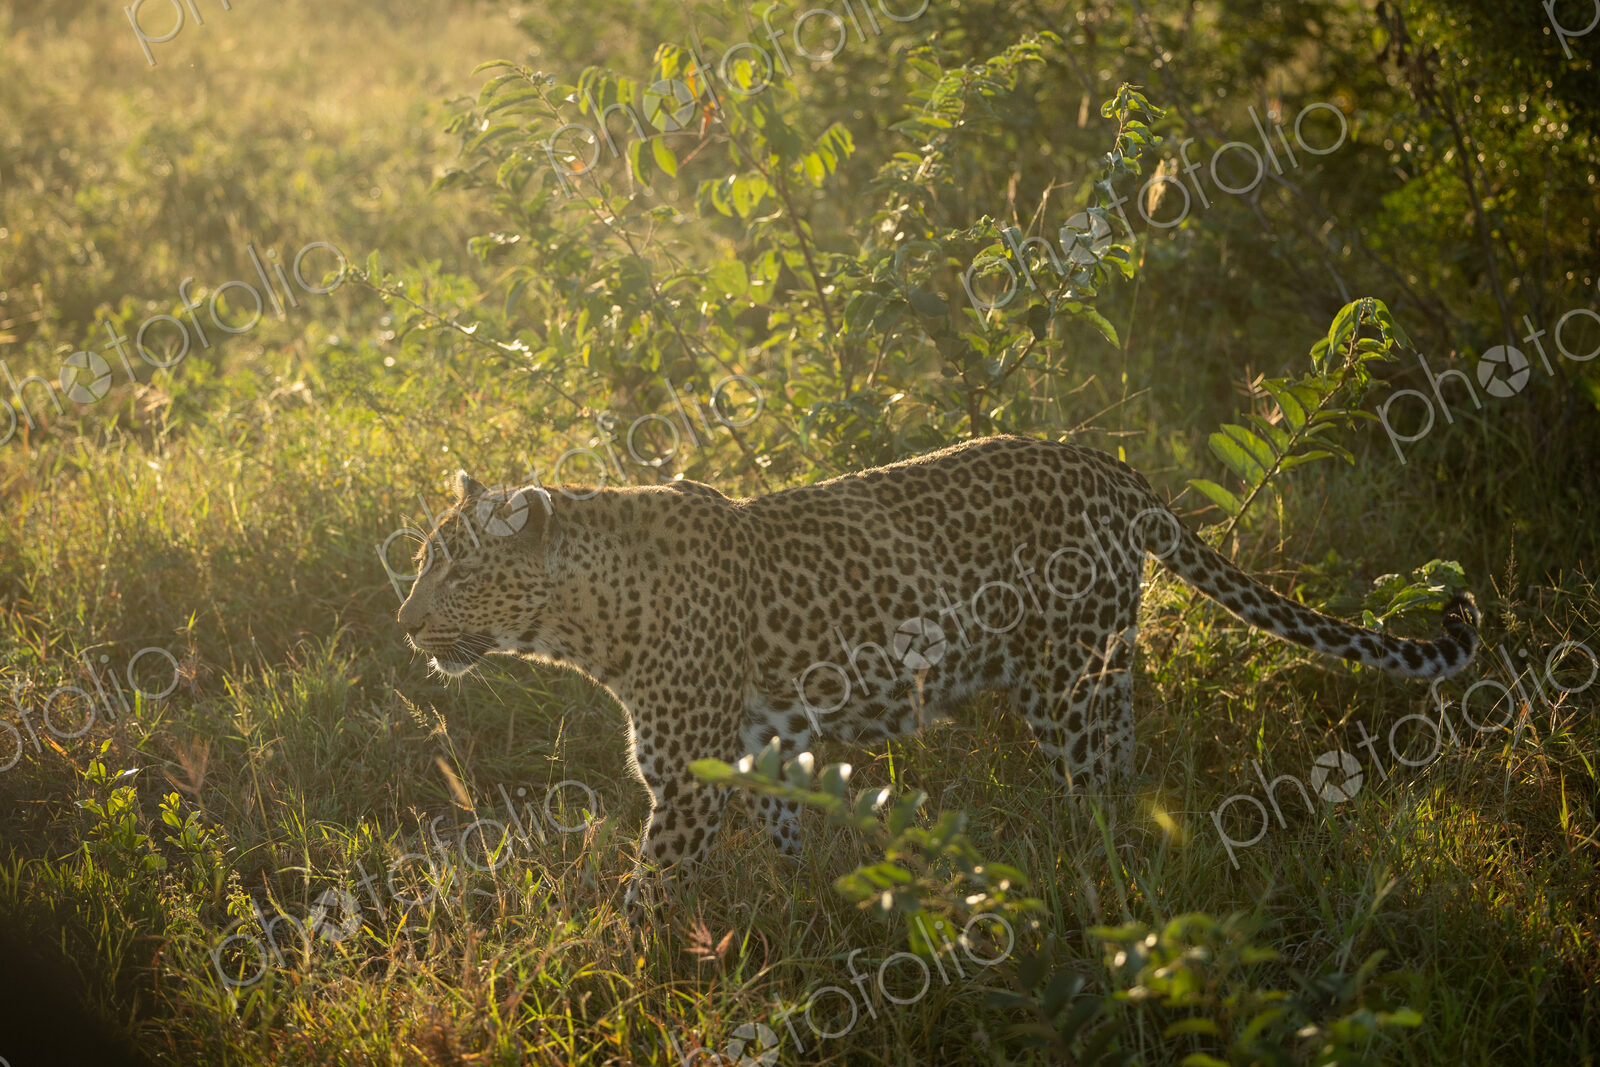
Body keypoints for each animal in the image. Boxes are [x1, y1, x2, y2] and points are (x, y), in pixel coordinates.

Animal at [395, 435, 1480, 914]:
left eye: (455, 567)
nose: (403, 626)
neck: (580, 617)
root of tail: (1114, 467)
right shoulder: (764, 741)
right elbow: (787, 836)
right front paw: (805, 908)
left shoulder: (687, 774)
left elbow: (649, 894)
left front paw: (623, 969)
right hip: (1104, 670)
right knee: (1127, 766)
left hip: (1062, 685)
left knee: (1096, 791)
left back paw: (1091, 887)